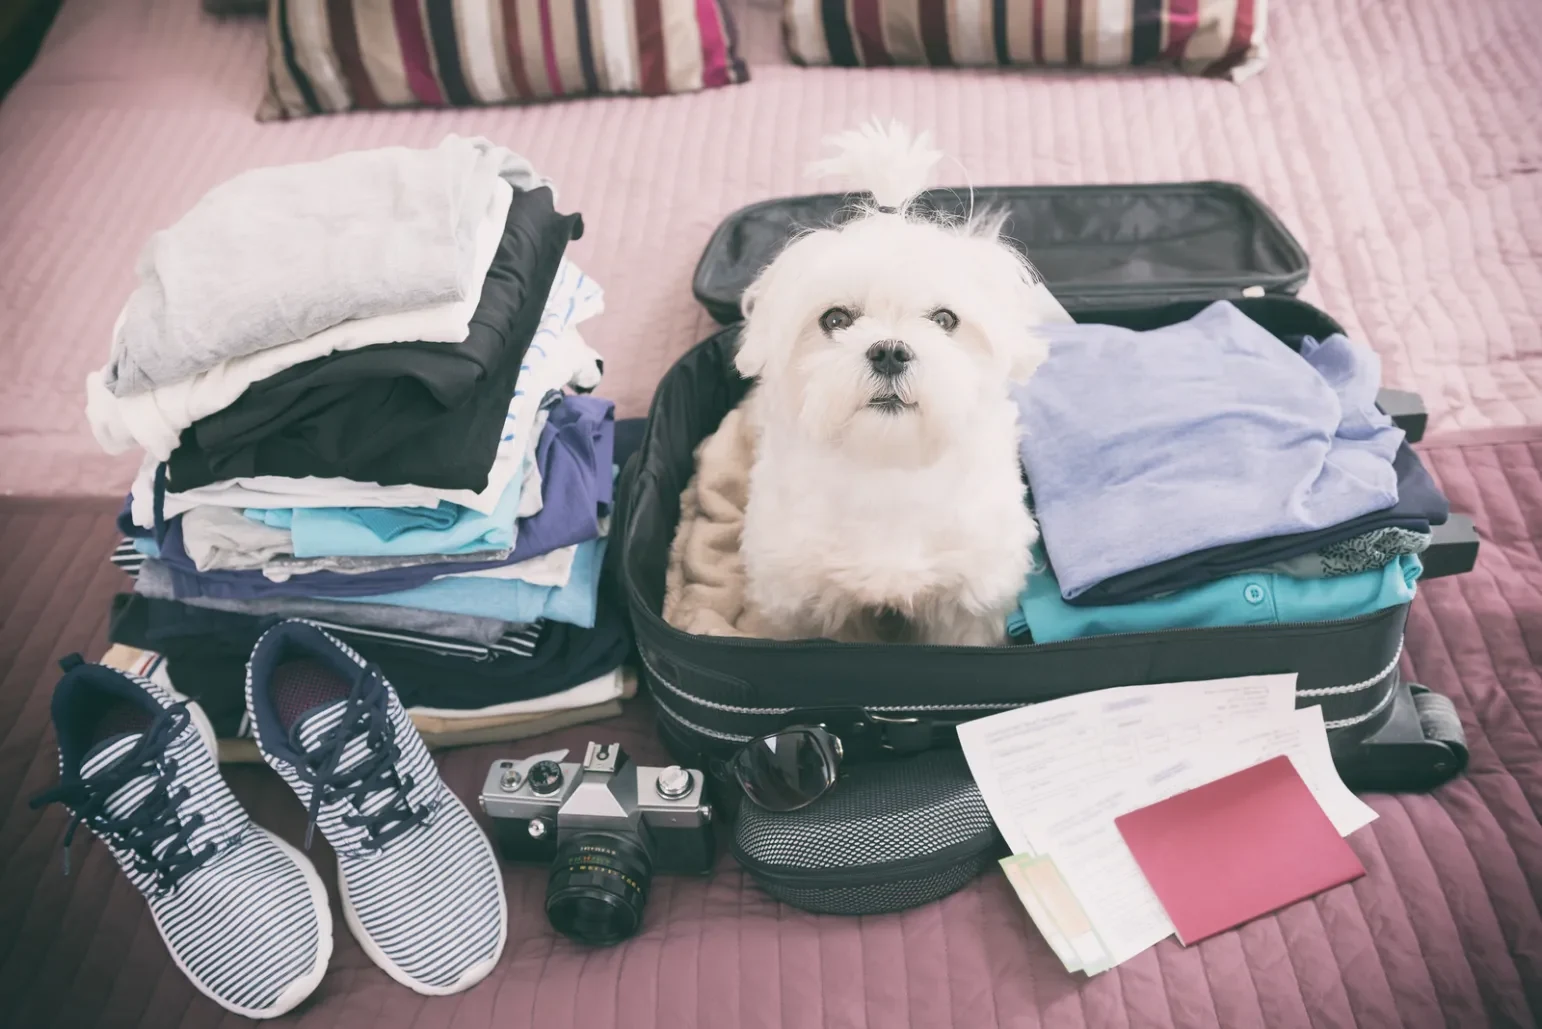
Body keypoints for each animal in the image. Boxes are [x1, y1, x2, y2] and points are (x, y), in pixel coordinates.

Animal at [737, 124, 1060, 647]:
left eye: (945, 319)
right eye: (835, 319)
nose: (889, 351)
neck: (888, 467)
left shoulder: (967, 601)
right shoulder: (809, 599)